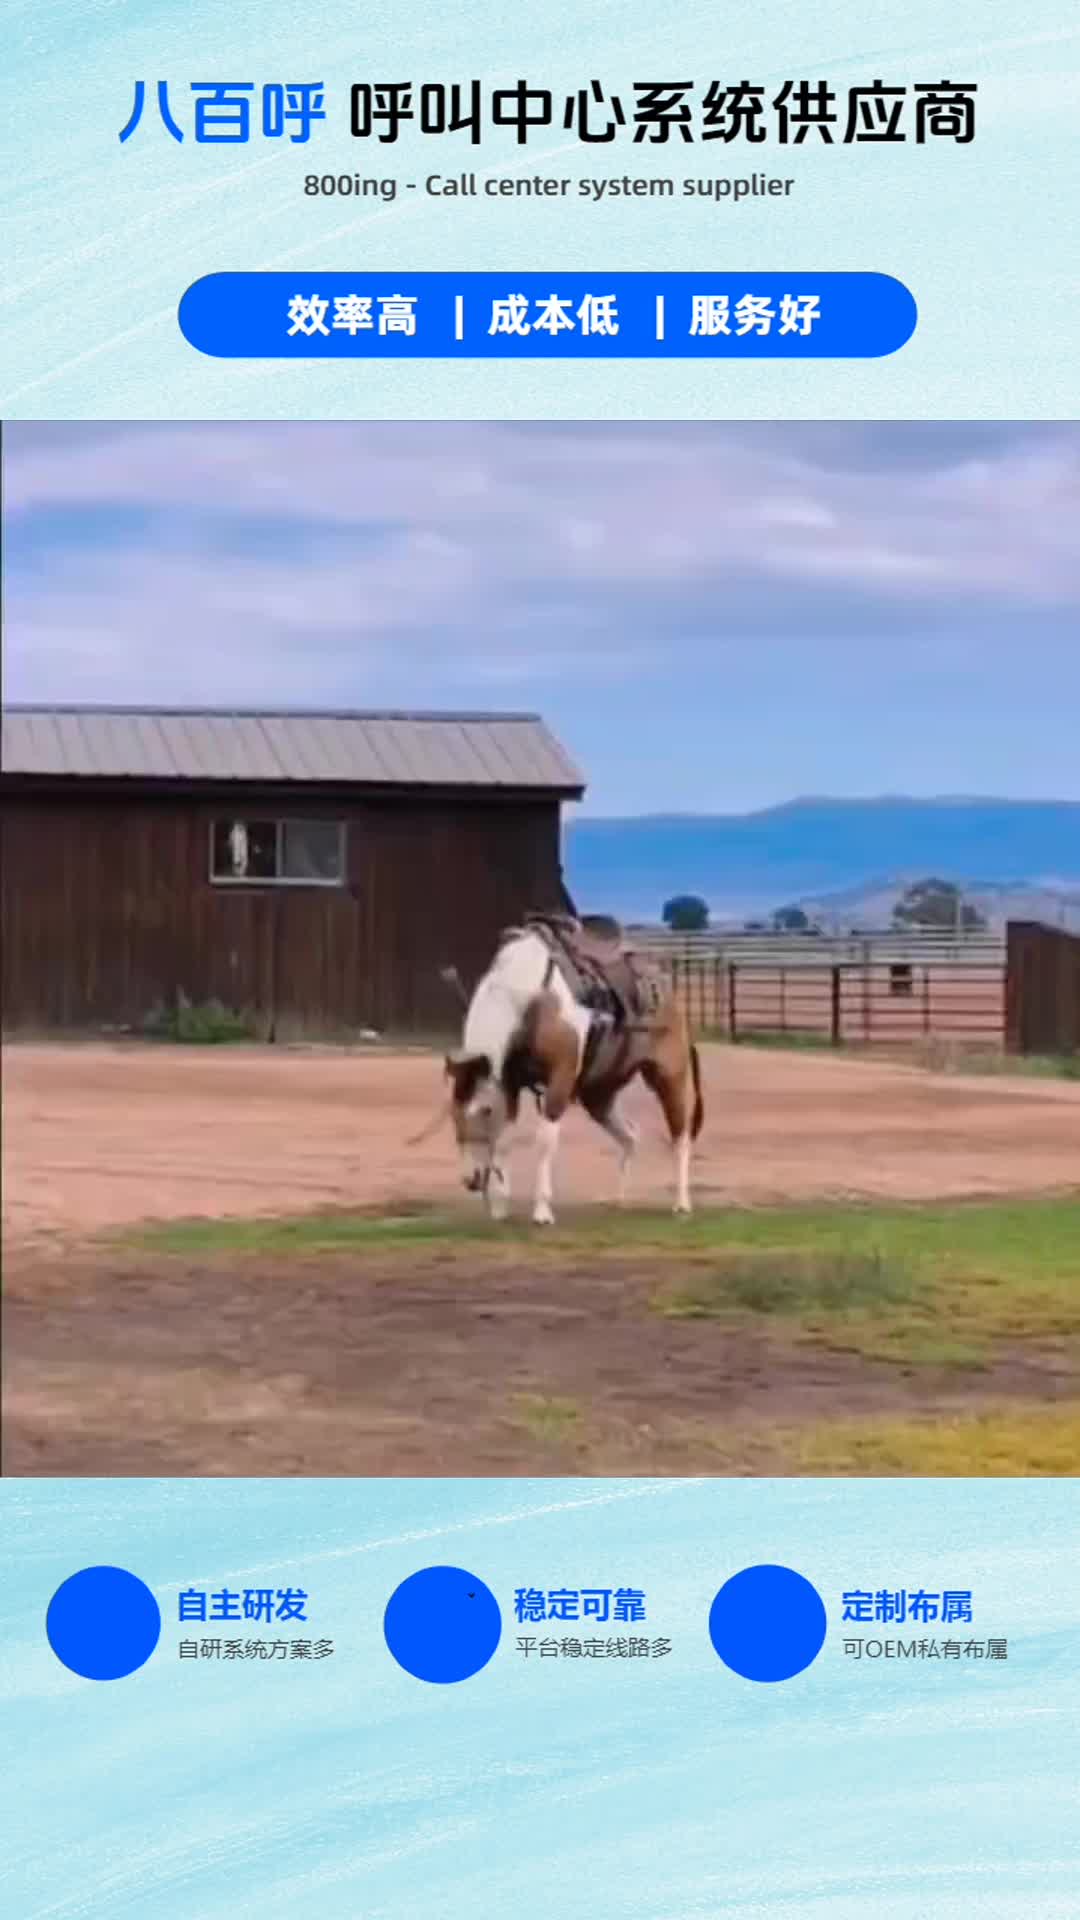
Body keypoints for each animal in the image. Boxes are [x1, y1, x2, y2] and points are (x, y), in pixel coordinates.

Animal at [432, 929, 703, 1228]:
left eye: (484, 1110)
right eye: (453, 1114)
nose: (470, 1179)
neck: (531, 999)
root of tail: (663, 986)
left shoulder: (559, 1081)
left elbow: (544, 1141)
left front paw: (542, 1211)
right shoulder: (509, 1085)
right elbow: (504, 1140)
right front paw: (501, 1208)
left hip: (670, 1075)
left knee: (680, 1136)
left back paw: (682, 1203)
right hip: (599, 1095)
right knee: (630, 1136)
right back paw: (619, 1199)